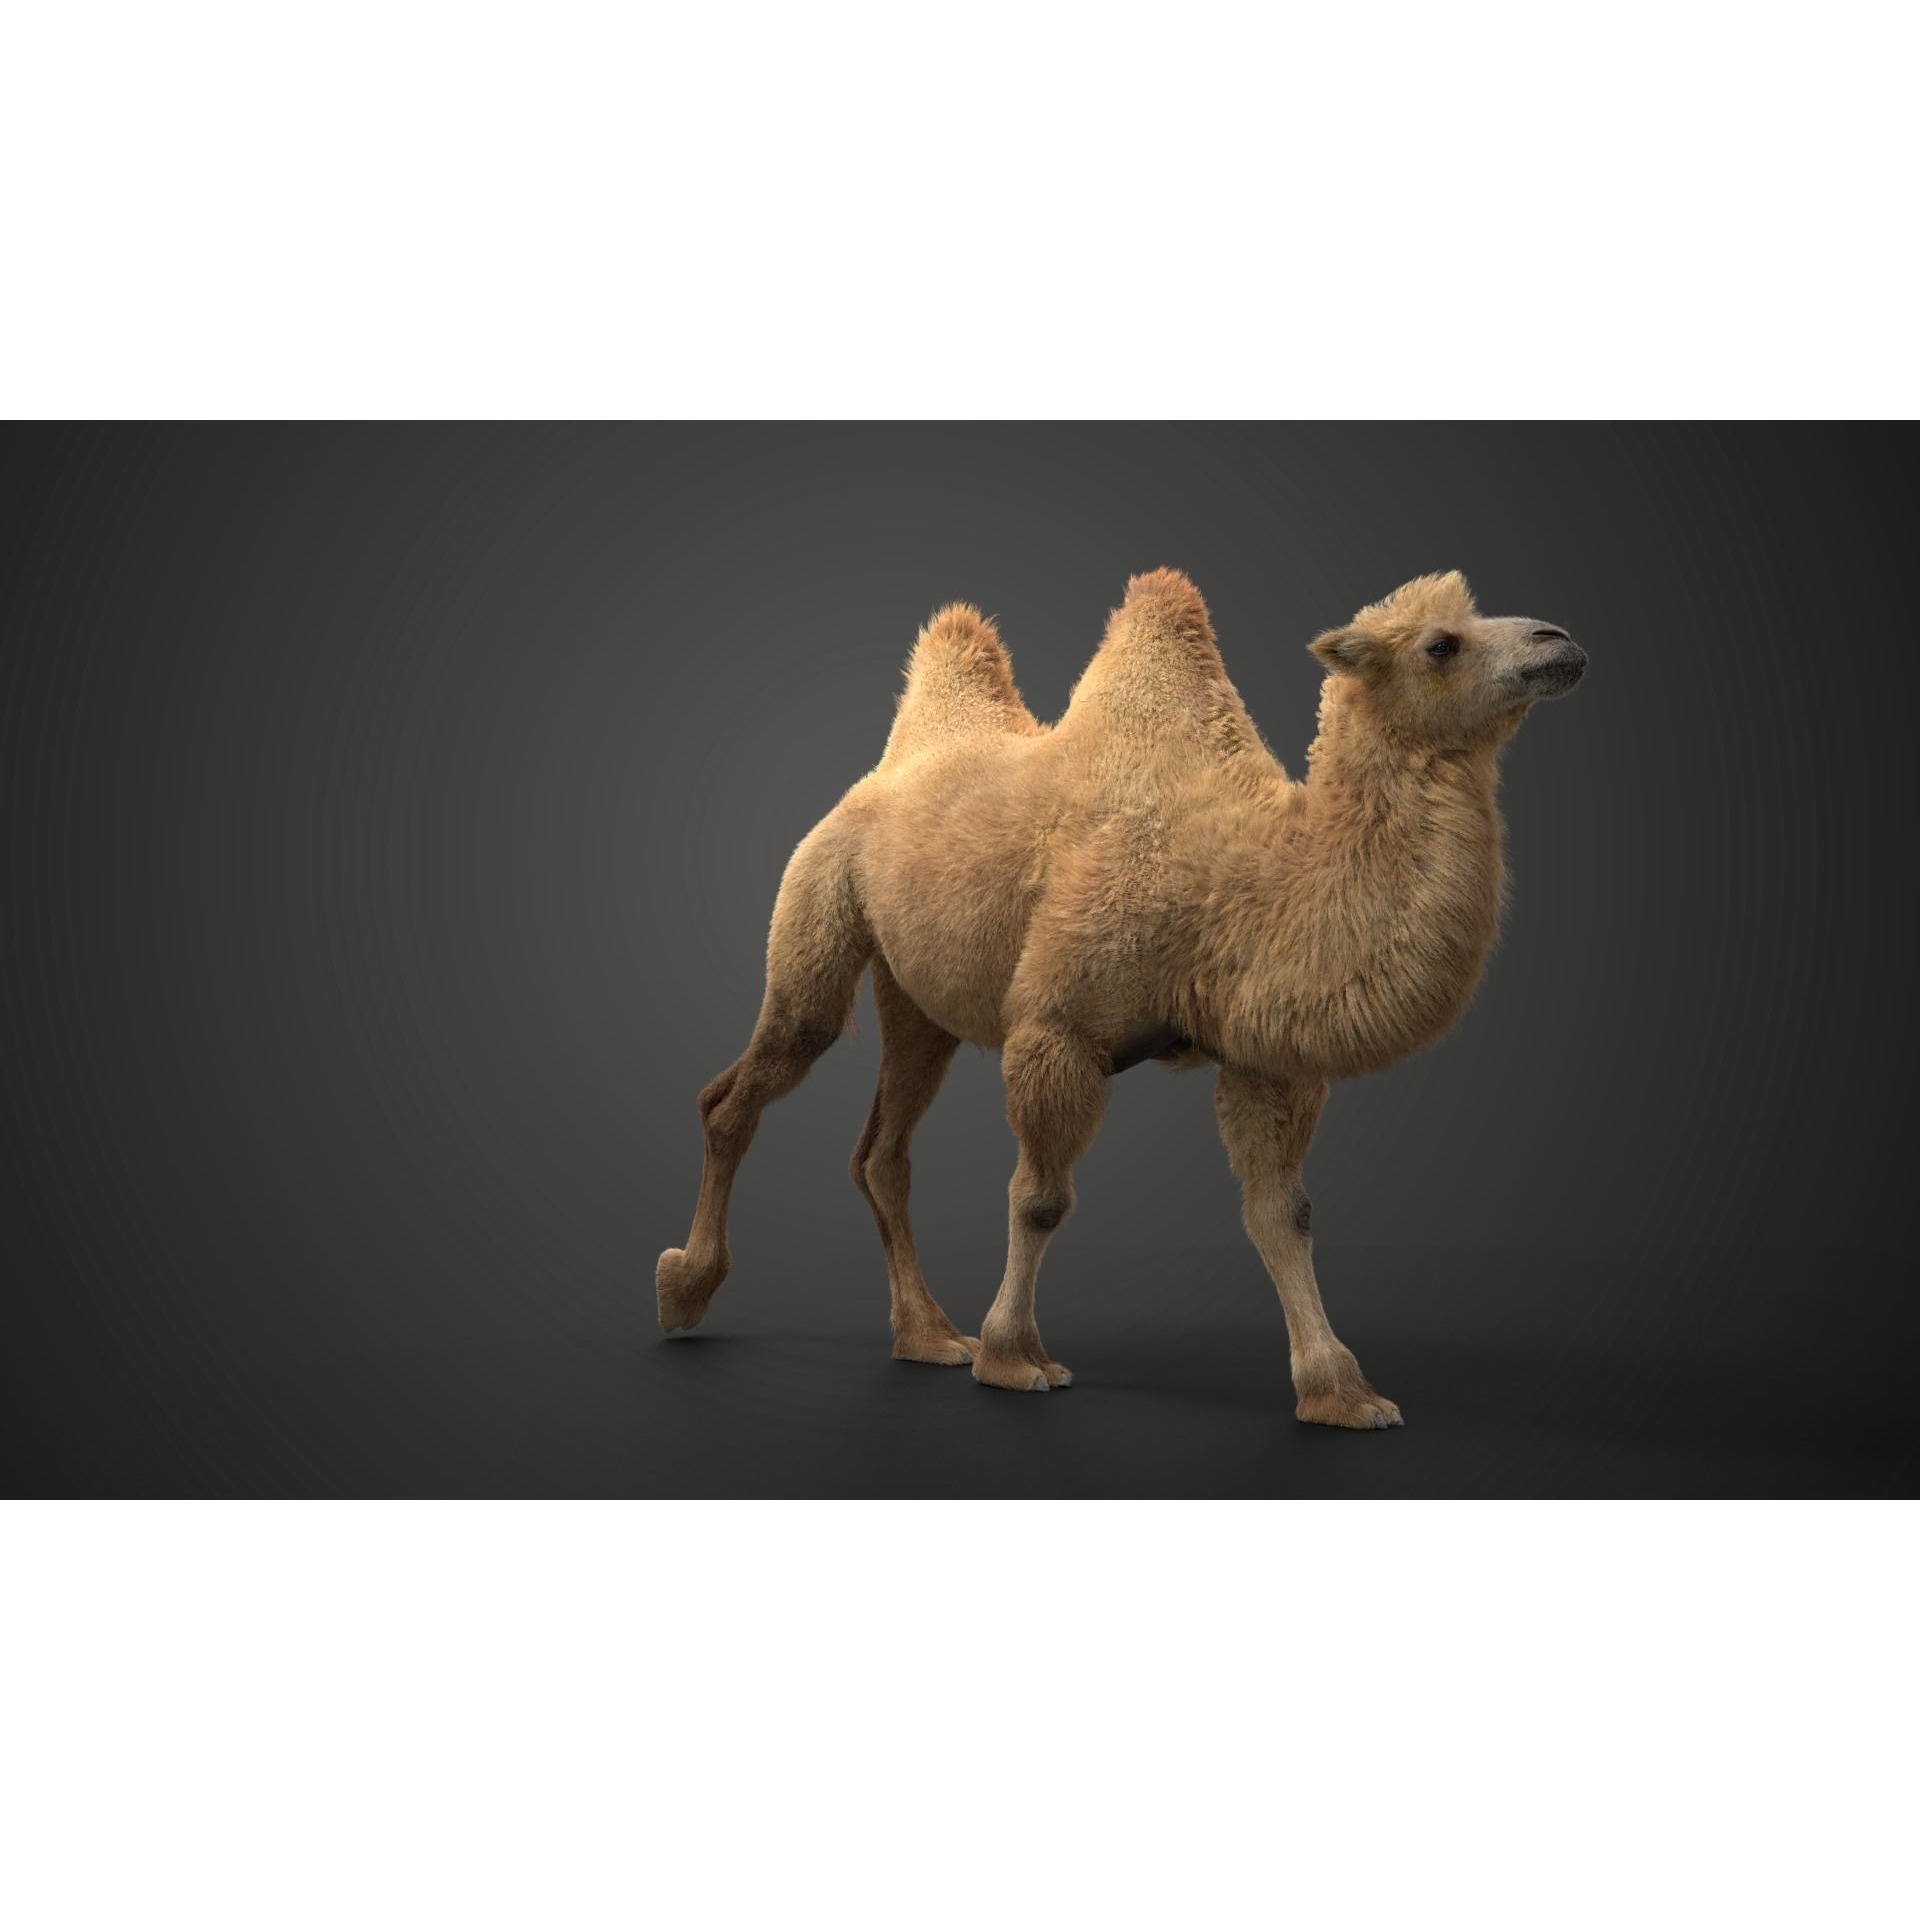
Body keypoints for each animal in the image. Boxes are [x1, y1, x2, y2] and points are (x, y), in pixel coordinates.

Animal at [656, 568, 1586, 1427]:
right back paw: (684, 1292)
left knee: (882, 1150)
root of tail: (880, 777)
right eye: (1441, 645)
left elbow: (1281, 1213)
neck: (1237, 877)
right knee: (749, 1082)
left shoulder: (1265, 1058)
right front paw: (1015, 1357)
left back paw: (926, 1337)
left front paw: (1340, 1393)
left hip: (914, 997)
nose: (1560, 641)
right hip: (816, 906)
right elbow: (1040, 1199)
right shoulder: (1058, 1026)